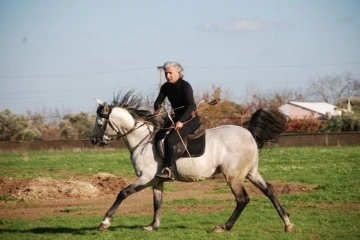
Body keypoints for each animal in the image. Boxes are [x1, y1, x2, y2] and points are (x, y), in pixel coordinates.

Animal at [90, 91, 296, 233]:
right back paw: (287, 223)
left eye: (100, 123)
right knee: (269, 190)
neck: (143, 139)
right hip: (251, 172)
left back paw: (224, 227)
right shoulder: (156, 180)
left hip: (233, 176)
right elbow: (157, 202)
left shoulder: (145, 177)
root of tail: (248, 132)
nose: (92, 140)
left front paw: (104, 222)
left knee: (242, 199)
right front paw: (153, 225)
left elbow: (123, 193)